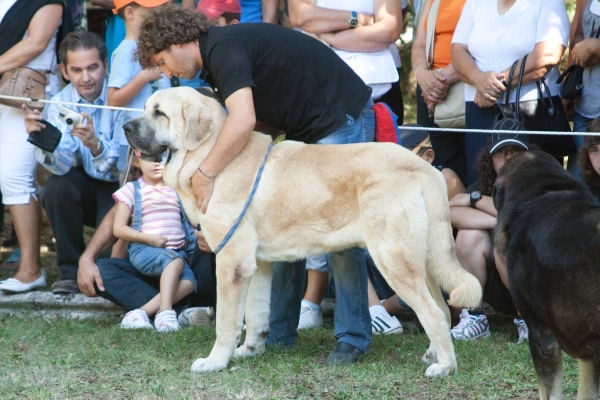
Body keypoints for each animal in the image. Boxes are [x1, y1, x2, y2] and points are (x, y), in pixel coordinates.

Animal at [123, 86, 482, 376]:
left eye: (159, 113)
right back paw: (434, 355)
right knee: (440, 309)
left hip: (393, 260)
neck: (212, 155)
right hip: (421, 261)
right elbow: (256, 313)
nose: (126, 126)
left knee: (432, 313)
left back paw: (445, 368)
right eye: (146, 108)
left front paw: (215, 362)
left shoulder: (231, 263)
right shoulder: (256, 265)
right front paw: (250, 350)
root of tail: (423, 168)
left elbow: (226, 321)